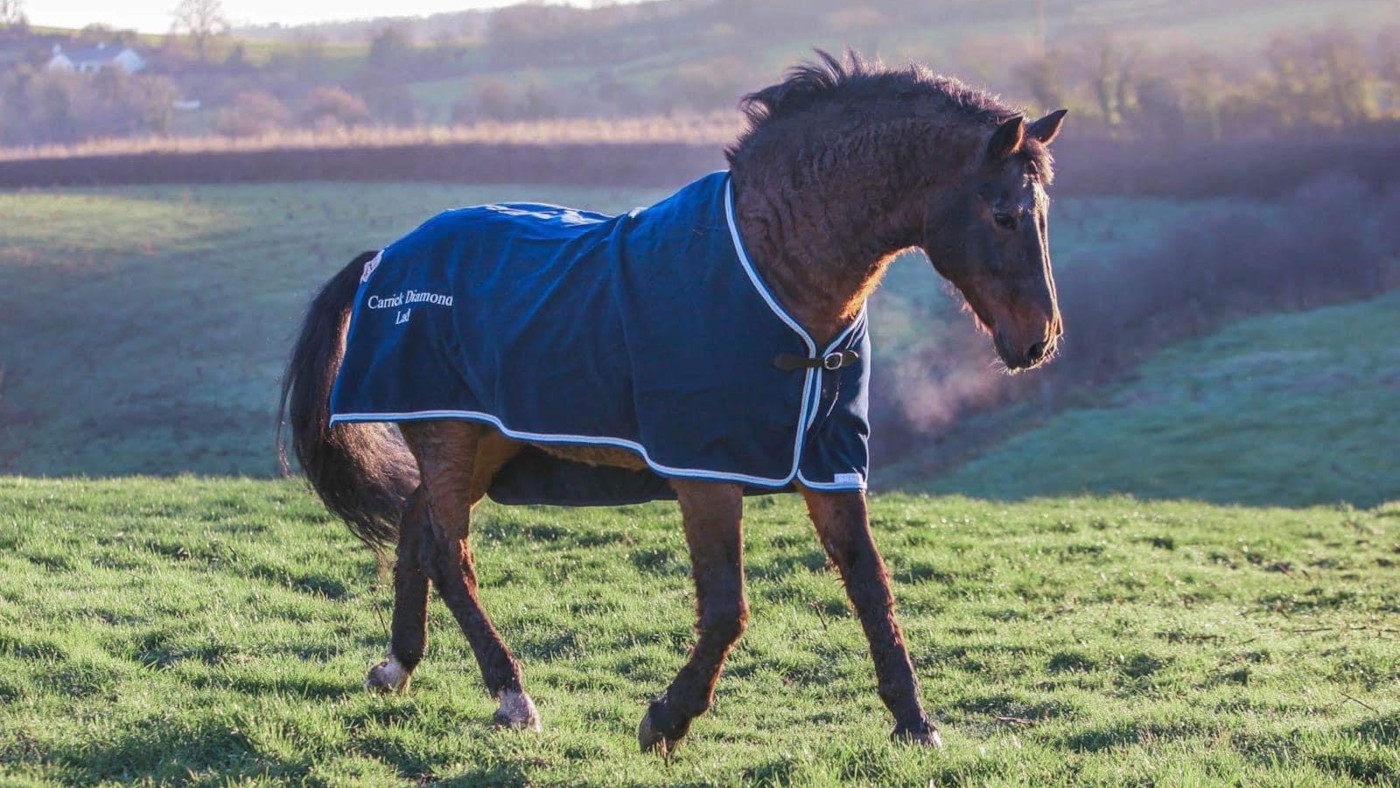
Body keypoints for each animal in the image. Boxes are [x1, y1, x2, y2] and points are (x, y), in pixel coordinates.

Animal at [279, 52, 1066, 754]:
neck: (779, 273)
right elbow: (725, 611)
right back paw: (510, 694)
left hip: (486, 443)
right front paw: (666, 719)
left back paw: (397, 666)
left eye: (1042, 213)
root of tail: (388, 256)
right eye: (1004, 215)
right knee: (448, 551)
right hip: (450, 434)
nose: (1040, 340)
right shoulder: (706, 471)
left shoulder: (831, 463)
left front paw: (914, 722)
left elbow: (872, 587)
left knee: (417, 525)